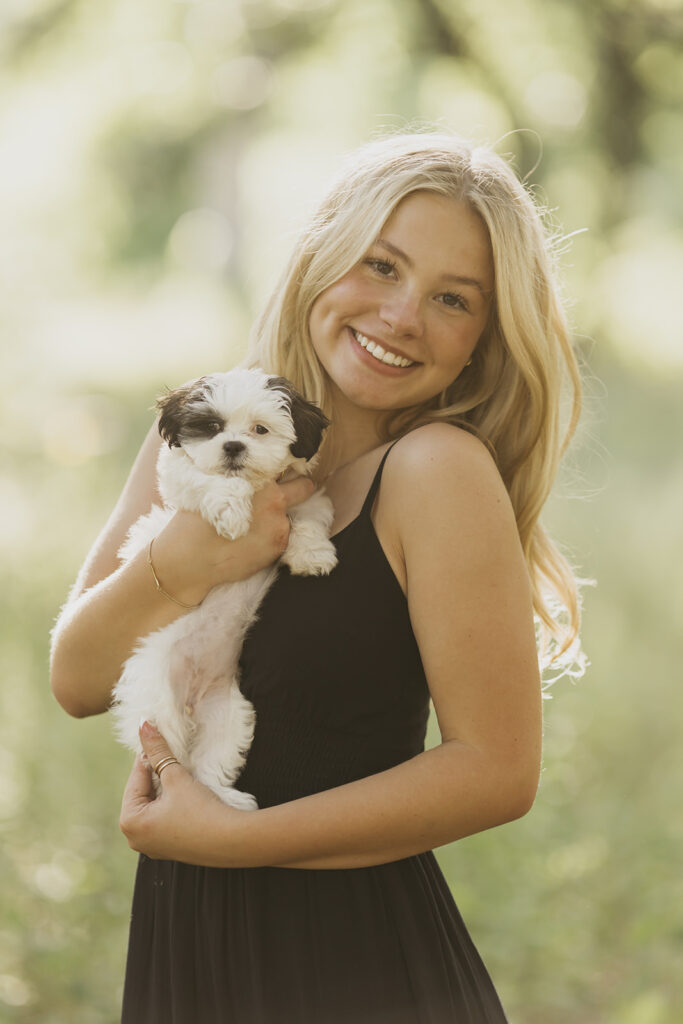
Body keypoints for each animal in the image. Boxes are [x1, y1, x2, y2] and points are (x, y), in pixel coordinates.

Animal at [111, 368, 337, 806]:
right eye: (212, 428)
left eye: (260, 429)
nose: (233, 445)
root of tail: (192, 698)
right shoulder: (181, 477)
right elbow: (204, 480)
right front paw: (232, 511)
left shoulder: (304, 495)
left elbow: (308, 516)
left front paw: (311, 552)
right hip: (158, 706)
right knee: (171, 755)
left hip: (228, 713)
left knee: (209, 762)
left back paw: (221, 799)